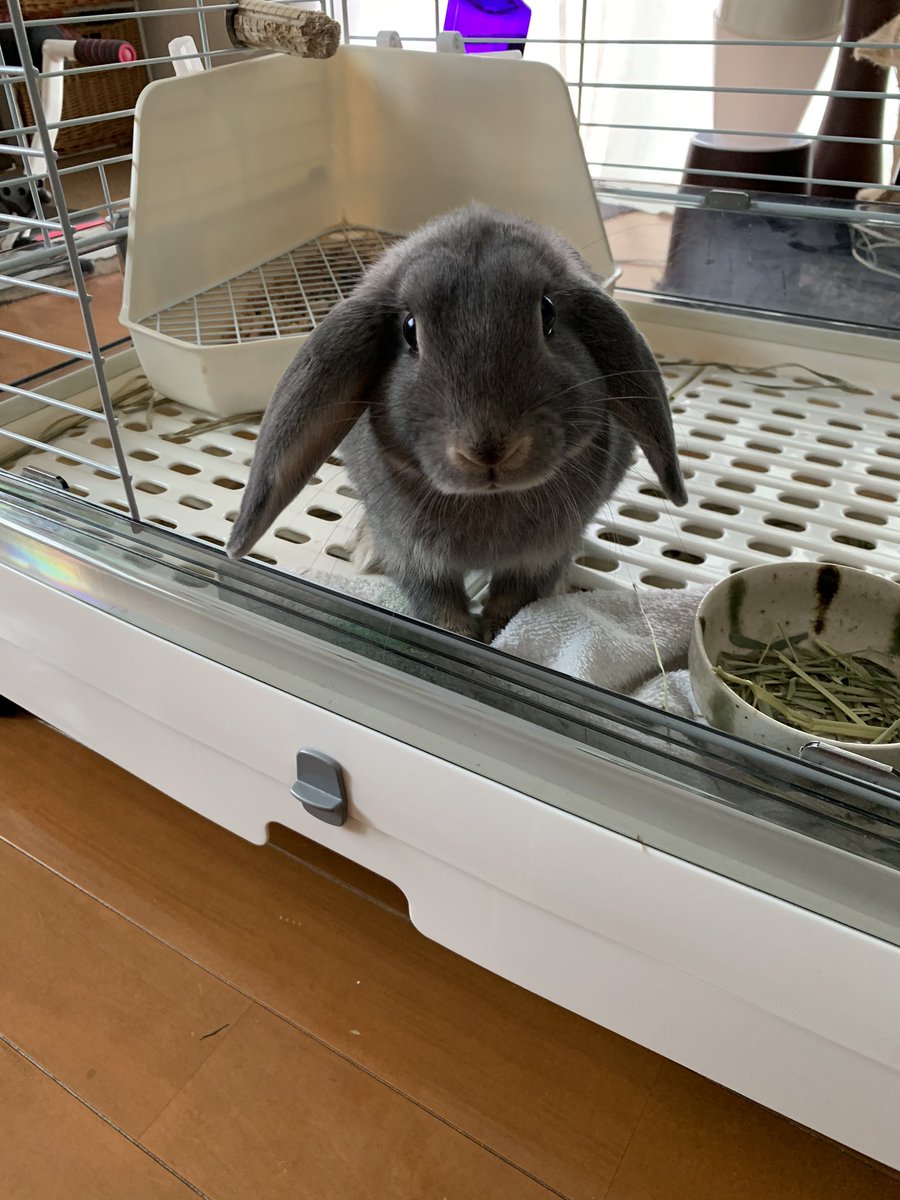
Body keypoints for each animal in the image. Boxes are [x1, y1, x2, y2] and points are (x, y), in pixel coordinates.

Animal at [227, 205, 687, 640]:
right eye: (410, 329)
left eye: (548, 314)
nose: (489, 448)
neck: (488, 501)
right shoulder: (413, 555)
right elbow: (437, 602)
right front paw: (458, 633)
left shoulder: (542, 554)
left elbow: (517, 598)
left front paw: (499, 633)